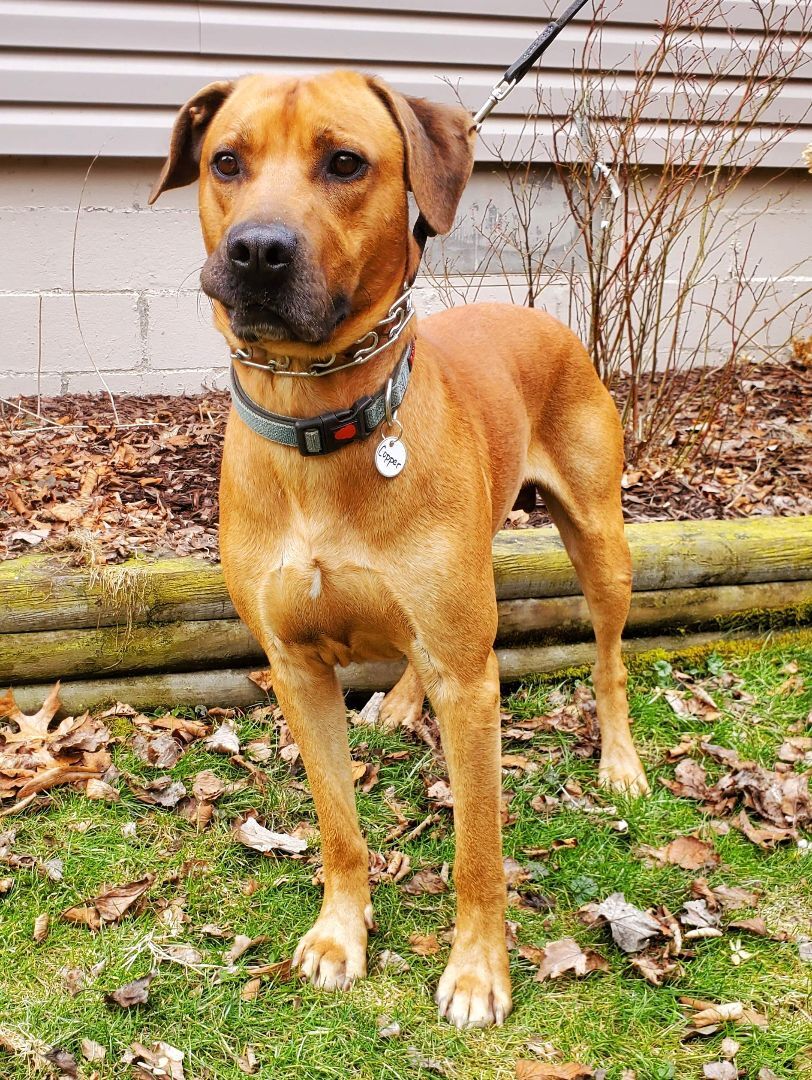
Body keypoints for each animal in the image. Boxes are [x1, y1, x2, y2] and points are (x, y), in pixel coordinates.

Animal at [151, 67, 647, 1028]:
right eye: (226, 161)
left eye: (345, 163)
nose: (257, 251)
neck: (321, 422)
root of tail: (545, 318)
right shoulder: (296, 668)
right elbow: (338, 827)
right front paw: (341, 934)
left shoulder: (470, 683)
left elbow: (478, 848)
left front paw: (478, 971)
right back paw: (402, 702)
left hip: (599, 539)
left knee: (607, 655)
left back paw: (620, 761)